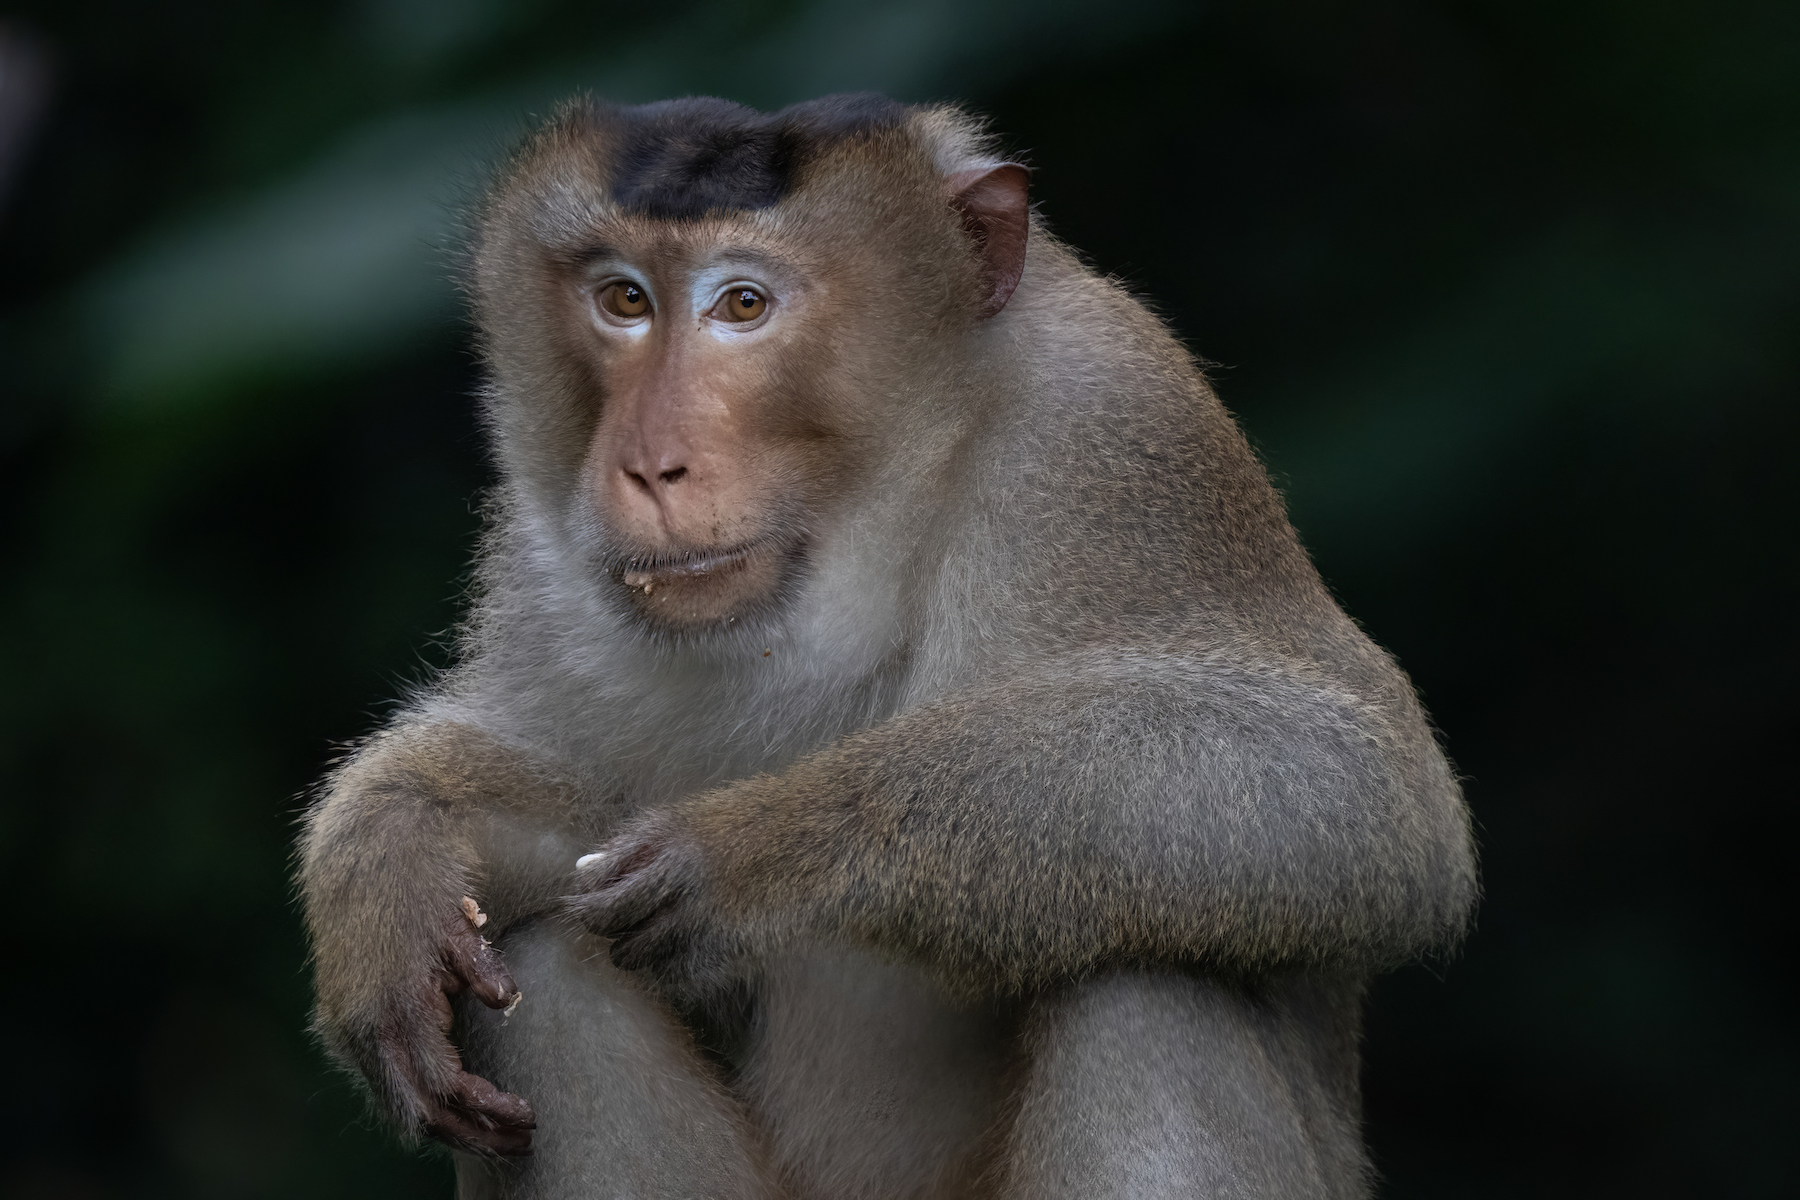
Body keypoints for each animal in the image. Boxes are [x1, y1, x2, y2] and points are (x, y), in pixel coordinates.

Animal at [298, 93, 1476, 1200]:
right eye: (624, 299)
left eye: (743, 304)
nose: (648, 464)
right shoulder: (542, 547)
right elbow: (565, 813)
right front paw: (393, 842)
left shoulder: (1116, 425)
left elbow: (1361, 789)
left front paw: (760, 848)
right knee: (540, 968)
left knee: (1150, 978)